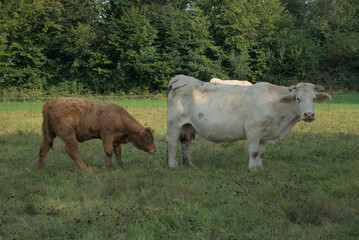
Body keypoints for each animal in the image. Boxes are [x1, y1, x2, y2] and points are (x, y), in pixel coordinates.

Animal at [166, 74, 332, 170]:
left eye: (314, 99)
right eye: (298, 99)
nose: (309, 114)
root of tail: (180, 78)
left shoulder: (265, 133)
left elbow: (262, 152)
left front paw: (259, 168)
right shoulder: (253, 129)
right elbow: (254, 151)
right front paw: (252, 169)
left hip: (188, 126)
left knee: (186, 143)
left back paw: (189, 164)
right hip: (174, 123)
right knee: (172, 142)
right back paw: (173, 165)